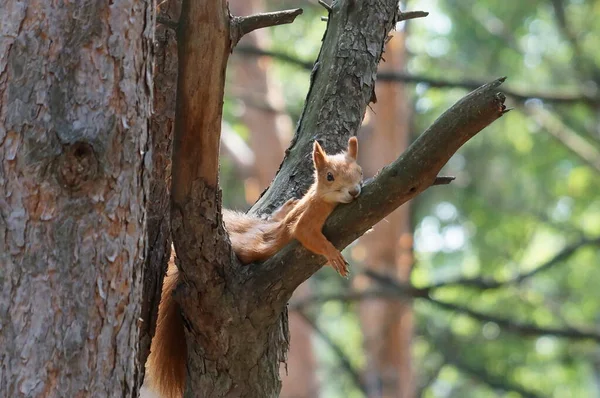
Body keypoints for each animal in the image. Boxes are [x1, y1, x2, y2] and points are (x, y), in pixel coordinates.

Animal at [146, 138, 360, 398]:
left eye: (359, 171)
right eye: (330, 176)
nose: (354, 191)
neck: (319, 195)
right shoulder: (312, 214)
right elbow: (302, 231)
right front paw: (332, 254)